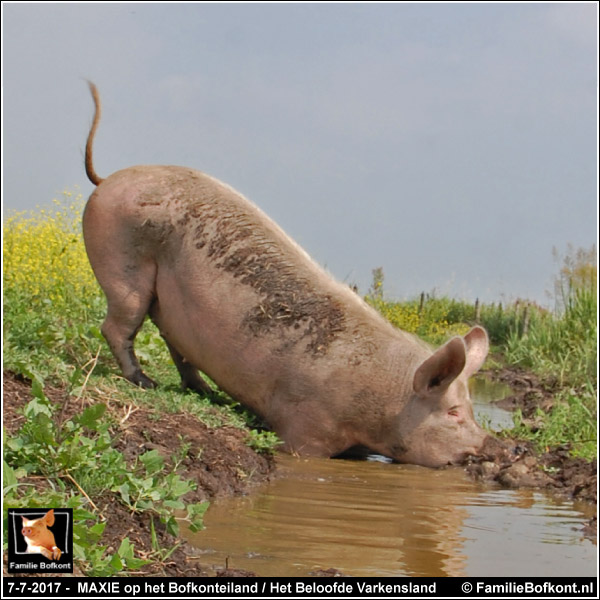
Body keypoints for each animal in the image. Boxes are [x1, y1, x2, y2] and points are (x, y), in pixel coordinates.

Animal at [84, 83, 496, 468]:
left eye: (472, 410)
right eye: (453, 413)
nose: (490, 446)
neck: (386, 393)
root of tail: (106, 179)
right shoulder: (307, 423)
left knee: (176, 346)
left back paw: (205, 393)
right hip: (123, 267)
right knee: (117, 326)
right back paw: (145, 382)